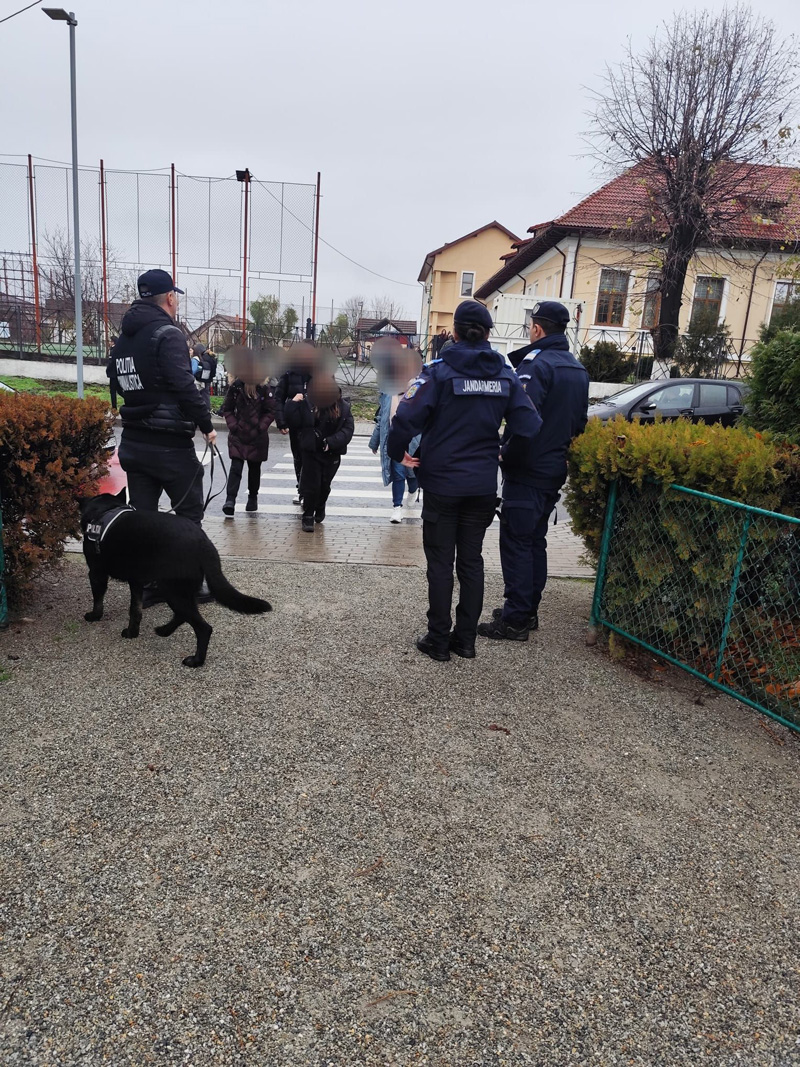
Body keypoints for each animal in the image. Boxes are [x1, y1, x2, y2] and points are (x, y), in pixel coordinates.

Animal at [79, 490, 271, 667]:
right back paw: (165, 630)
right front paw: (132, 632)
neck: (105, 510)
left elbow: (98, 599)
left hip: (172, 590)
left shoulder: (96, 573)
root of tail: (204, 542)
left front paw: (94, 616)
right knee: (182, 615)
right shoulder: (136, 581)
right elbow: (135, 609)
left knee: (203, 628)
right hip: (179, 590)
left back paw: (196, 660)